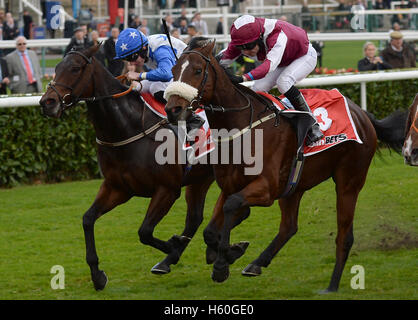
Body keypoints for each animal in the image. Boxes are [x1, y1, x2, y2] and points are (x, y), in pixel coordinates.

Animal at [38, 45, 214, 290]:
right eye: (55, 68)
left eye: (75, 68)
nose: (47, 102)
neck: (127, 128)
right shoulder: (118, 188)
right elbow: (87, 219)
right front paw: (97, 275)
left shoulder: (167, 190)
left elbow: (145, 232)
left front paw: (173, 246)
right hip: (201, 178)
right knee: (195, 218)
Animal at [164, 37, 404, 292]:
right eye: (173, 70)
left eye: (198, 70)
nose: (172, 110)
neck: (243, 127)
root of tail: (363, 115)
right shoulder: (230, 186)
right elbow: (212, 228)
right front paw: (226, 252)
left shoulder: (266, 189)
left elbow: (232, 206)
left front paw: (222, 263)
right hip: (294, 186)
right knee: (289, 226)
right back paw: (256, 263)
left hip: (349, 182)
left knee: (344, 236)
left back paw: (331, 285)